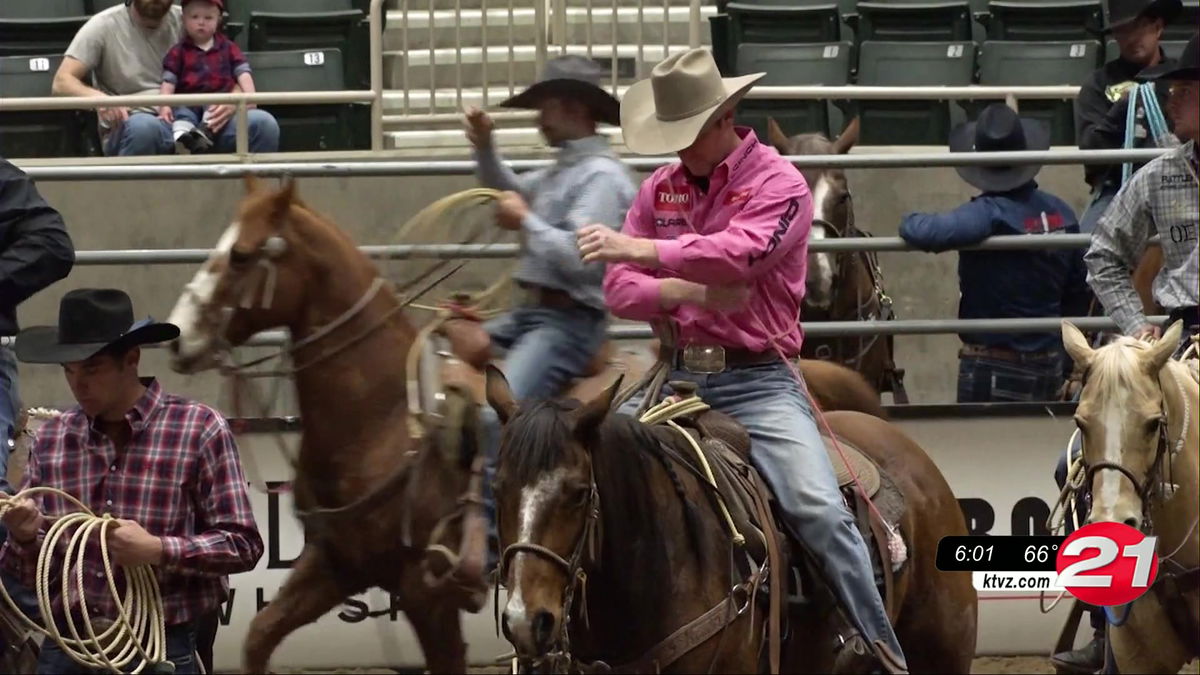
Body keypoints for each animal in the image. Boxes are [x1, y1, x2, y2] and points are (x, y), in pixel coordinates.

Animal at [165, 176, 492, 667]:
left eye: (241, 254)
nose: (176, 336)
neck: (383, 423)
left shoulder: (427, 595)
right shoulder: (336, 564)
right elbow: (260, 634)